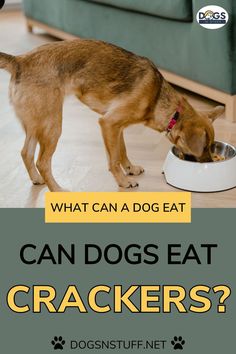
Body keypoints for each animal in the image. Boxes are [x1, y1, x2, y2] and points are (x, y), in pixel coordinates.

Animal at [0, 39, 224, 191]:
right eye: (204, 147)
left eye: (211, 147)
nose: (210, 164)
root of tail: (20, 60)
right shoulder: (109, 123)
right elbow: (114, 159)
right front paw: (124, 181)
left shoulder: (117, 127)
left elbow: (121, 151)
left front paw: (130, 168)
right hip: (53, 125)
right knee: (42, 162)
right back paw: (57, 190)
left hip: (36, 124)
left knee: (26, 153)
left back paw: (36, 179)